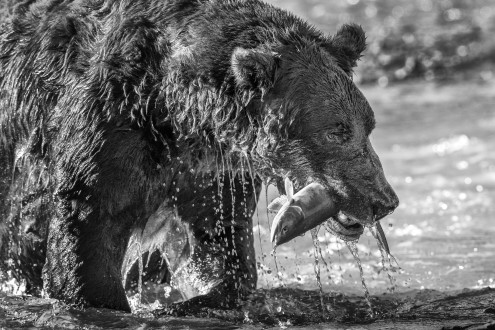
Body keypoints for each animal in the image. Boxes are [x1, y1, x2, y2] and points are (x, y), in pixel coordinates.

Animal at [0, 0, 398, 312]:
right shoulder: (112, 121)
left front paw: (198, 299)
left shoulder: (213, 170)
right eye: (335, 131)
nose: (383, 200)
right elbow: (91, 230)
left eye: (368, 125)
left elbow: (215, 241)